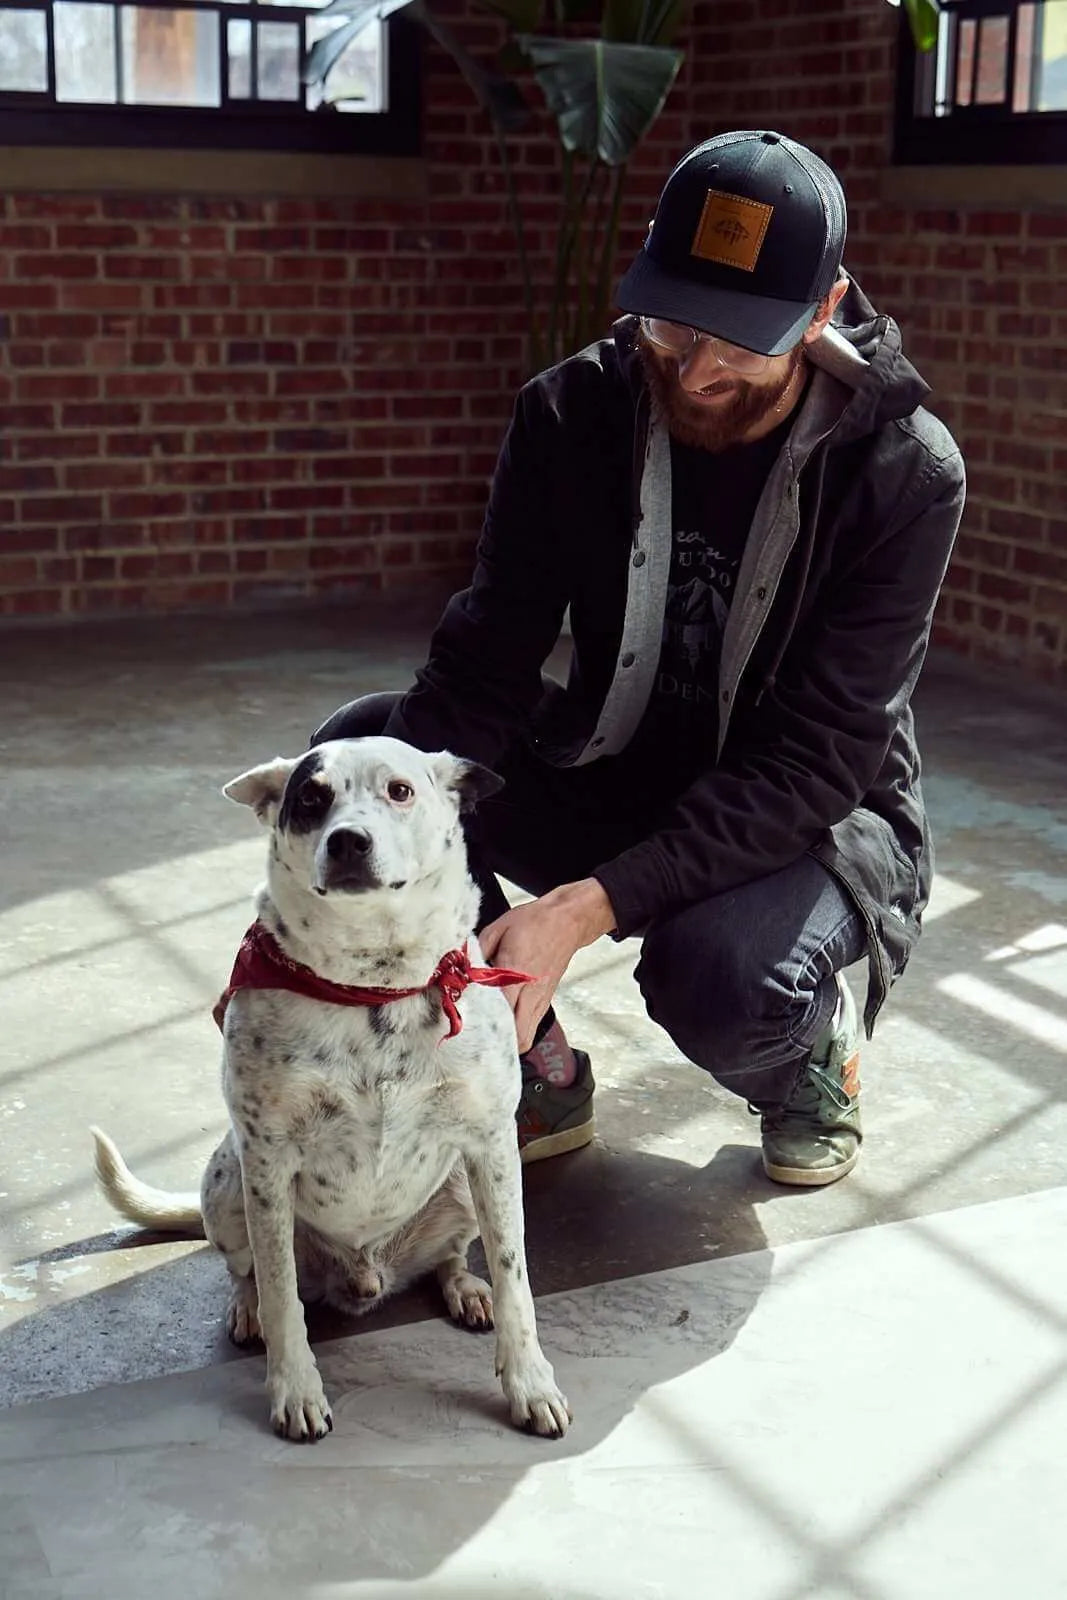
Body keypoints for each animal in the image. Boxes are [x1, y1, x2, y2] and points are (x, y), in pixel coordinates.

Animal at [93, 742, 566, 1446]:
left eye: (400, 791)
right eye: (311, 798)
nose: (348, 841)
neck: (374, 986)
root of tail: (367, 1273)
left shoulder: (491, 1146)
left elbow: (516, 1279)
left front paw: (530, 1384)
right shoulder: (267, 1159)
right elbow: (282, 1293)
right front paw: (296, 1390)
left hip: (460, 1180)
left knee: (455, 1253)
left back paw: (464, 1287)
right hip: (229, 1181)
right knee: (247, 1271)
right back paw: (247, 1310)